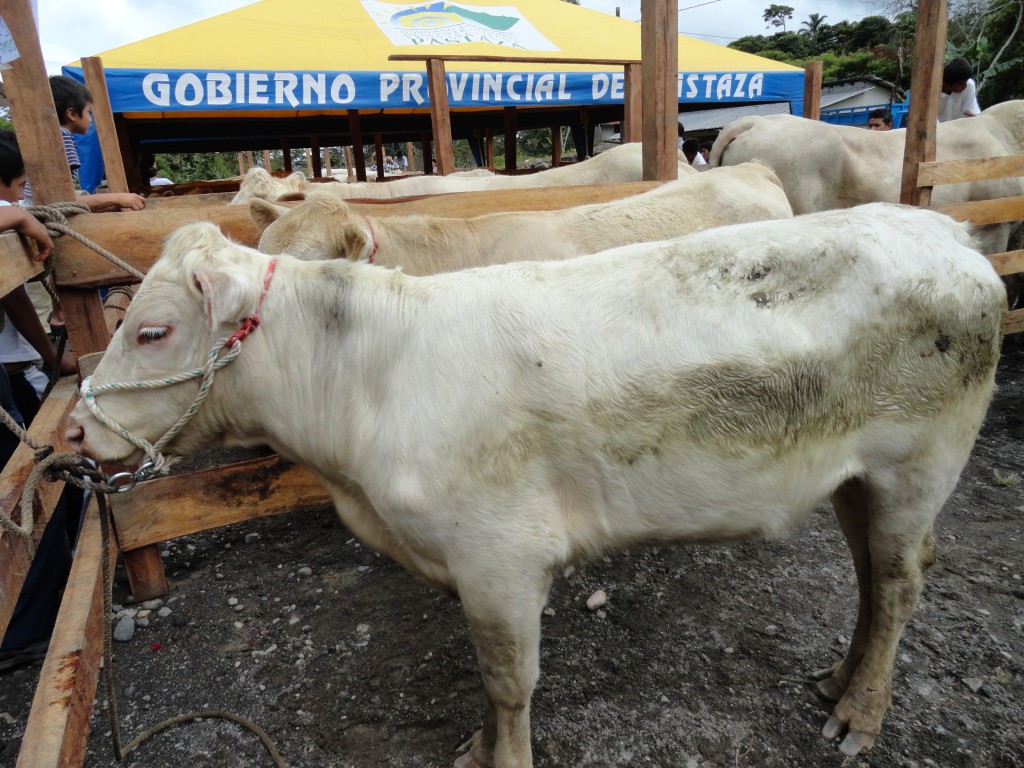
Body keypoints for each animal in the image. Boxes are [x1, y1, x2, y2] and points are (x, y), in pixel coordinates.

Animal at [68, 205, 1003, 768]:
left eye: (151, 331)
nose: (73, 432)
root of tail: (945, 230)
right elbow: (491, 682)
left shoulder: (500, 556)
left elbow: (508, 680)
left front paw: (502, 755)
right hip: (854, 479)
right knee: (871, 581)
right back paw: (838, 681)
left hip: (919, 464)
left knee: (898, 585)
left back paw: (860, 717)